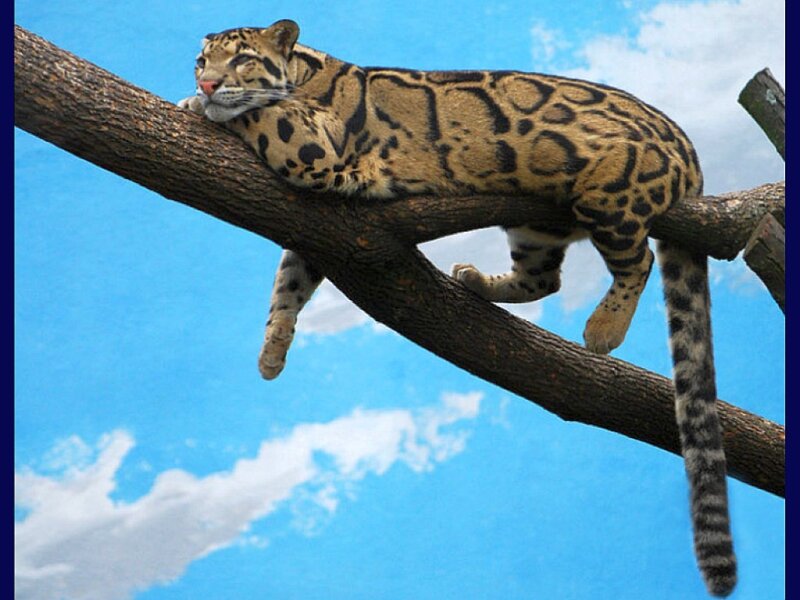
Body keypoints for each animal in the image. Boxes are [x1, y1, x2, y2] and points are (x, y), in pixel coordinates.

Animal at [179, 19, 736, 596]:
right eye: (201, 60)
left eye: (242, 59)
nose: (206, 84)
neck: (308, 73)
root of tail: (690, 151)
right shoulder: (318, 228)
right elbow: (290, 280)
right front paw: (272, 351)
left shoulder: (317, 151)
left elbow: (262, 115)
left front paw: (201, 107)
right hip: (536, 229)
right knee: (544, 279)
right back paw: (475, 282)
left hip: (611, 193)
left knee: (638, 259)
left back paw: (603, 328)